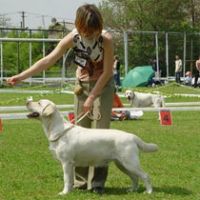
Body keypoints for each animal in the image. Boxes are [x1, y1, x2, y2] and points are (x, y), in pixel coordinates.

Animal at [26, 98, 158, 195]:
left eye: (39, 103)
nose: (27, 101)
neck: (57, 129)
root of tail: (132, 136)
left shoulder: (66, 162)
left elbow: (66, 179)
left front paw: (64, 193)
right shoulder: (71, 164)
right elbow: (71, 179)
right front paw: (71, 191)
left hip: (130, 162)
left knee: (145, 176)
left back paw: (149, 192)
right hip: (122, 164)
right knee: (135, 177)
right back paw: (132, 190)